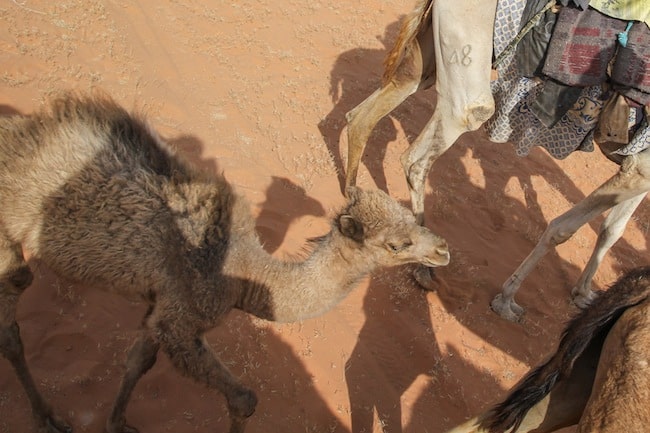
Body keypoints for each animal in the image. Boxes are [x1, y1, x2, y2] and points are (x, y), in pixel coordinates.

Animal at [0, 92, 451, 433]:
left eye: (411, 217)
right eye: (397, 244)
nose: (443, 250)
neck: (246, 275)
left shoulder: (162, 307)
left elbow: (138, 360)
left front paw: (117, 423)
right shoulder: (184, 318)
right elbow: (244, 399)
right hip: (7, 237)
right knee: (14, 313)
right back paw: (46, 417)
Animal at [343, 0, 650, 321]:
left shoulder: (638, 165)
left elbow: (612, 230)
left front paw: (584, 294)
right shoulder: (640, 167)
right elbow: (563, 229)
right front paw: (506, 299)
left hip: (427, 62)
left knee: (364, 115)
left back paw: (352, 198)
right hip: (466, 57)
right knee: (425, 151)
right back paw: (423, 267)